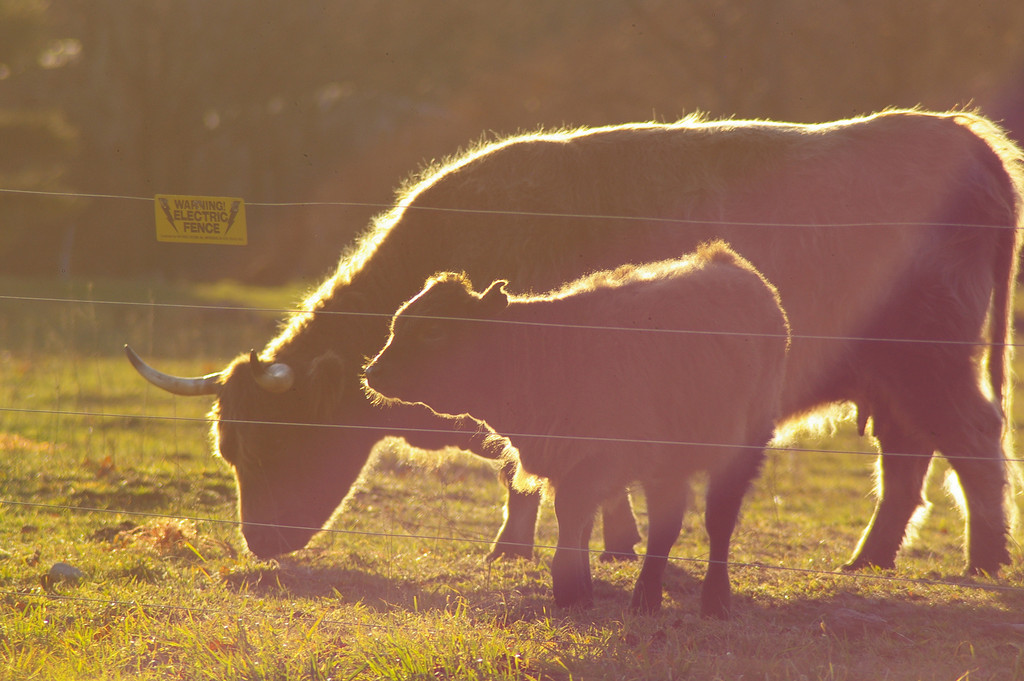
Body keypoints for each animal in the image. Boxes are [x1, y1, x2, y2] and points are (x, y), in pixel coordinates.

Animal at [130, 107, 1024, 573]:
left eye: (278, 438)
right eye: (230, 448)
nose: (259, 542)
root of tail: (960, 133)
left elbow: (523, 476)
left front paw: (515, 546)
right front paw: (616, 541)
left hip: (938, 363)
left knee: (974, 445)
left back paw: (982, 560)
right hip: (898, 380)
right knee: (909, 459)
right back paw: (869, 558)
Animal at [364, 242, 786, 614]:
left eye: (434, 331)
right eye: (398, 325)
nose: (373, 371)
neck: (551, 351)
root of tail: (729, 263)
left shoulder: (600, 461)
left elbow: (571, 514)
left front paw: (568, 591)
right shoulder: (569, 463)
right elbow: (579, 524)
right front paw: (581, 590)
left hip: (743, 450)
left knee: (718, 522)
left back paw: (714, 601)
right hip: (668, 468)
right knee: (666, 526)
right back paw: (647, 600)